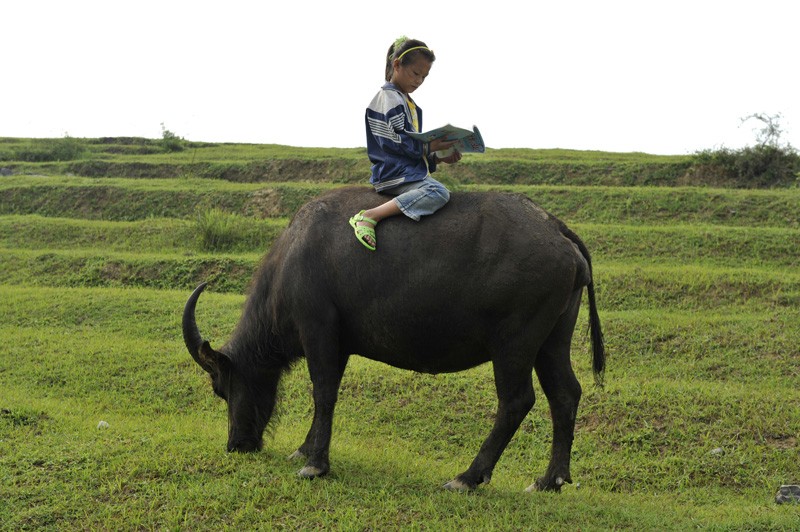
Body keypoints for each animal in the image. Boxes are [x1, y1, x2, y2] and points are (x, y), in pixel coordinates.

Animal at [183, 186, 608, 490]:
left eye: (221, 388)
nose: (237, 444)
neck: (294, 258)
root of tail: (554, 228)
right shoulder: (339, 344)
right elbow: (326, 394)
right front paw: (304, 450)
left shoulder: (318, 329)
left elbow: (322, 392)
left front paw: (315, 464)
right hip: (552, 341)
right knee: (565, 395)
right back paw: (550, 480)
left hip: (514, 345)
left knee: (516, 401)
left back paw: (468, 477)